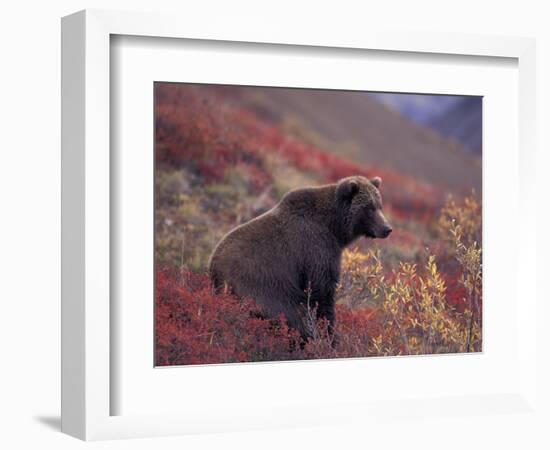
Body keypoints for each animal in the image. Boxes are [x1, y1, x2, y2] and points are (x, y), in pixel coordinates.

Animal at [207, 175, 392, 338]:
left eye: (380, 205)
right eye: (369, 208)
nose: (387, 228)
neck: (334, 228)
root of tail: (214, 268)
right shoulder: (315, 249)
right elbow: (322, 291)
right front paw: (330, 334)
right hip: (263, 287)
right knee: (293, 315)